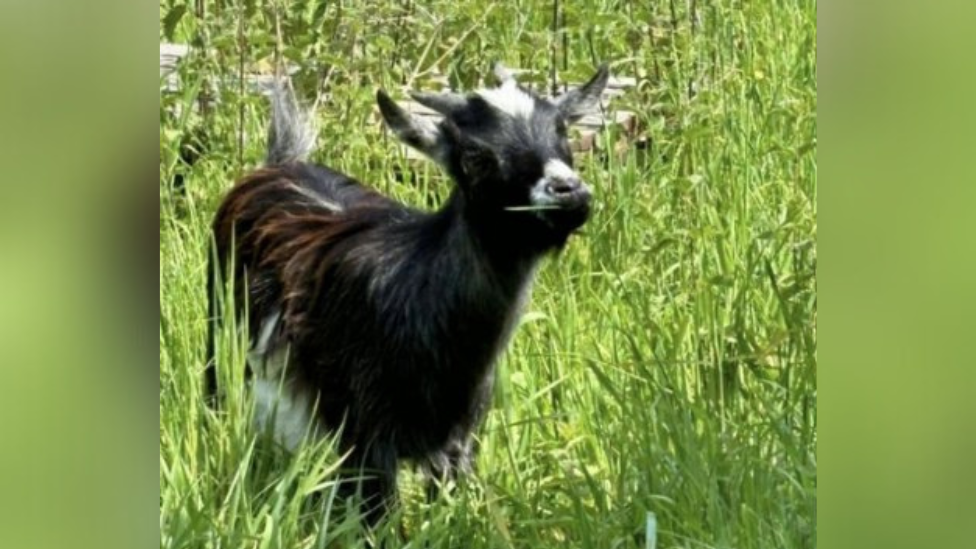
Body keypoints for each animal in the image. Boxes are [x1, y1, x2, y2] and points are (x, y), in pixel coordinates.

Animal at [208, 62, 608, 524]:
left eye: (561, 130)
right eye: (475, 156)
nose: (568, 192)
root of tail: (277, 164)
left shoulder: (459, 441)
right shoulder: (367, 436)